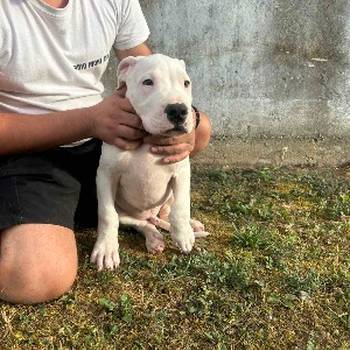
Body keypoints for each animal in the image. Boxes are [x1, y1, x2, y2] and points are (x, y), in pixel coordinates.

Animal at [90, 53, 208, 270]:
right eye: (148, 82)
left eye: (186, 83)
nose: (178, 110)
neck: (147, 138)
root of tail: (149, 214)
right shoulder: (106, 175)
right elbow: (107, 215)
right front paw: (106, 249)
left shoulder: (181, 171)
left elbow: (181, 206)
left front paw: (183, 234)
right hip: (126, 212)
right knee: (140, 223)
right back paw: (153, 238)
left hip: (168, 198)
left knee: (166, 214)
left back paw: (190, 225)